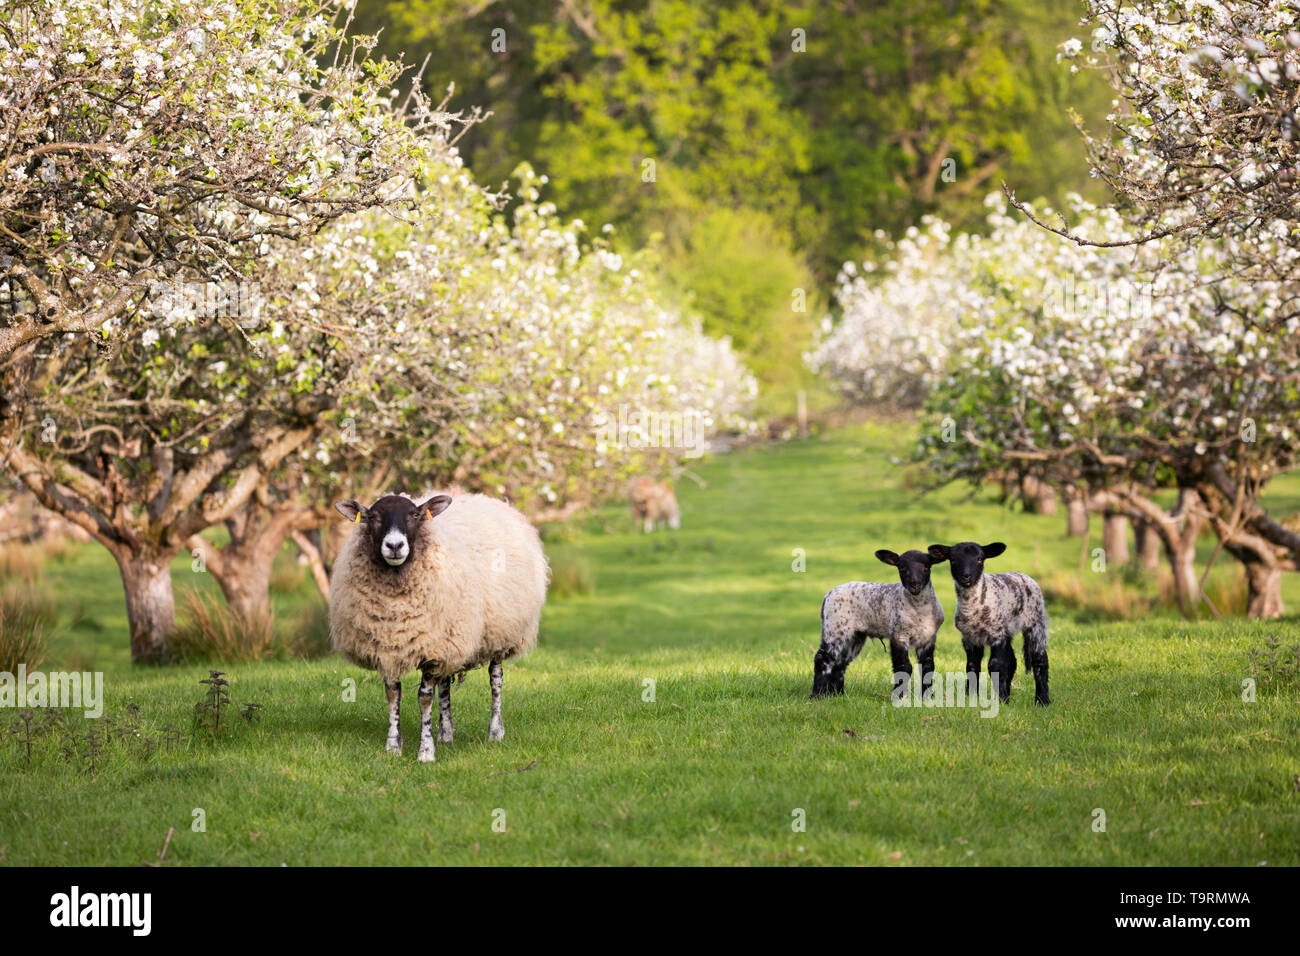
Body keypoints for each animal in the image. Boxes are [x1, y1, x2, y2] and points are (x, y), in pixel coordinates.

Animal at [330, 494, 548, 764]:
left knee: (495, 679)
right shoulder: (389, 647)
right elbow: (393, 694)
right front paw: (393, 746)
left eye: (414, 515)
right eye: (373, 517)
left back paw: (495, 731)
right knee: (445, 684)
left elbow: (425, 699)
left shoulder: (431, 649)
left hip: (500, 633)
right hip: (451, 639)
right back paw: (446, 732)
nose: (394, 545)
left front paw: (425, 751)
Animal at [811, 548, 946, 697]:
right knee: (823, 658)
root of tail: (827, 595)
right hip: (835, 628)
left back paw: (837, 694)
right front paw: (900, 696)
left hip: (854, 636)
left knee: (840, 662)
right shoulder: (898, 634)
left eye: (926, 567)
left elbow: (928, 666)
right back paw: (817, 694)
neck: (919, 610)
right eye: (902, 567)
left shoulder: (928, 637)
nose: (914, 584)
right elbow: (904, 667)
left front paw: (927, 696)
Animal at [930, 541, 1050, 707]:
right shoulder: (969, 637)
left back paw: (1042, 700)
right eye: (953, 560)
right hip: (1007, 630)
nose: (966, 576)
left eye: (980, 559)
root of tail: (1024, 576)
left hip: (1035, 622)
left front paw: (1001, 699)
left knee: (1040, 660)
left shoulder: (996, 635)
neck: (975, 605)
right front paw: (971, 696)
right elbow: (972, 665)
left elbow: (995, 665)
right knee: (1012, 661)